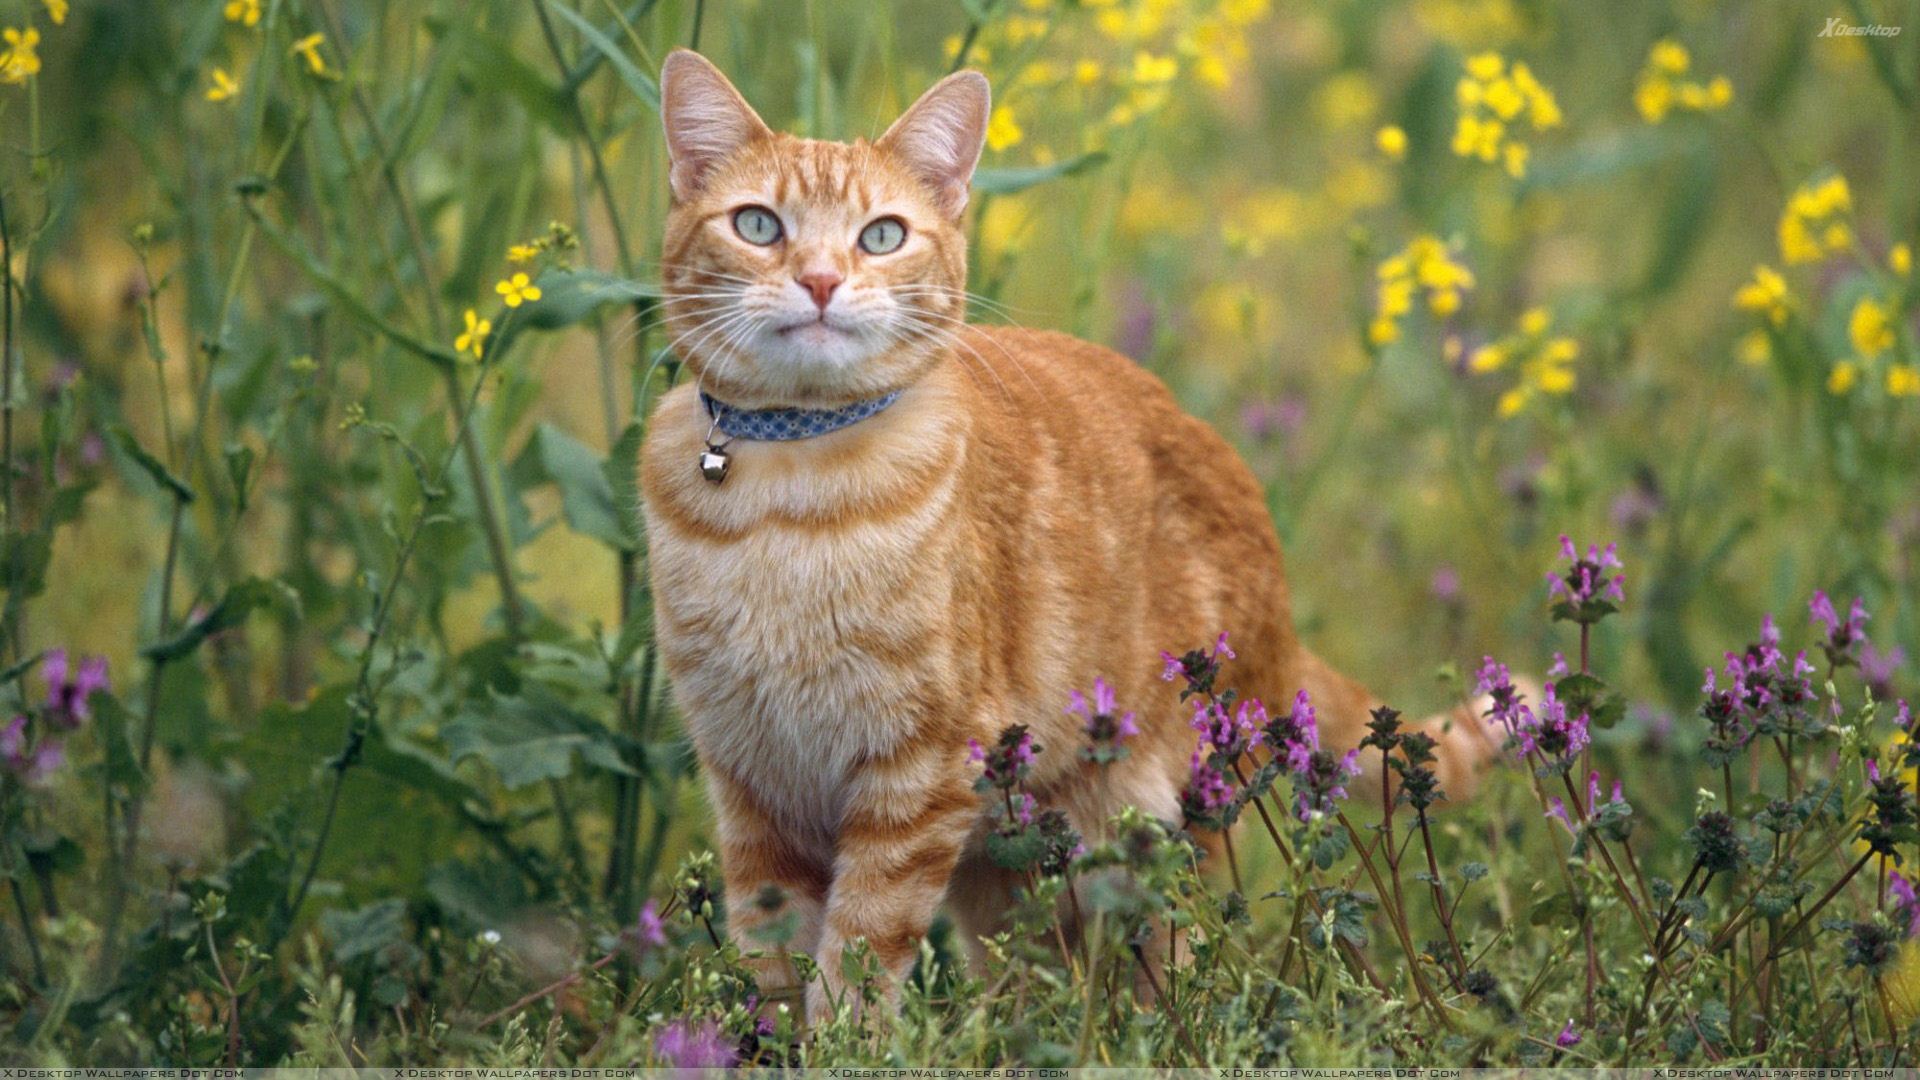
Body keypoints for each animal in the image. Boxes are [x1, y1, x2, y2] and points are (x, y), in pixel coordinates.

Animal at [645, 50, 1497, 1022]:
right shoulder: (752, 780)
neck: (787, 496)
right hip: (1013, 856)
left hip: (1162, 824)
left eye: (881, 236)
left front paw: (839, 1040)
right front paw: (757, 1041)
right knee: (1031, 972)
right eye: (757, 224)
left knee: (1181, 964)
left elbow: (861, 947)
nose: (821, 281)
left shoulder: (918, 773)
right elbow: (772, 952)